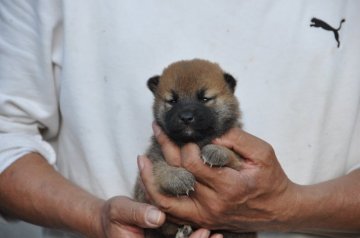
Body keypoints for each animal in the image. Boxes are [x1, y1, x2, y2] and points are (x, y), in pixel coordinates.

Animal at [134, 59, 256, 238]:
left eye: (204, 98)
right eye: (173, 101)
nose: (186, 117)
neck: (194, 141)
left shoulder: (240, 160)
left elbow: (232, 154)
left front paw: (217, 151)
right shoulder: (155, 154)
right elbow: (161, 166)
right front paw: (177, 177)